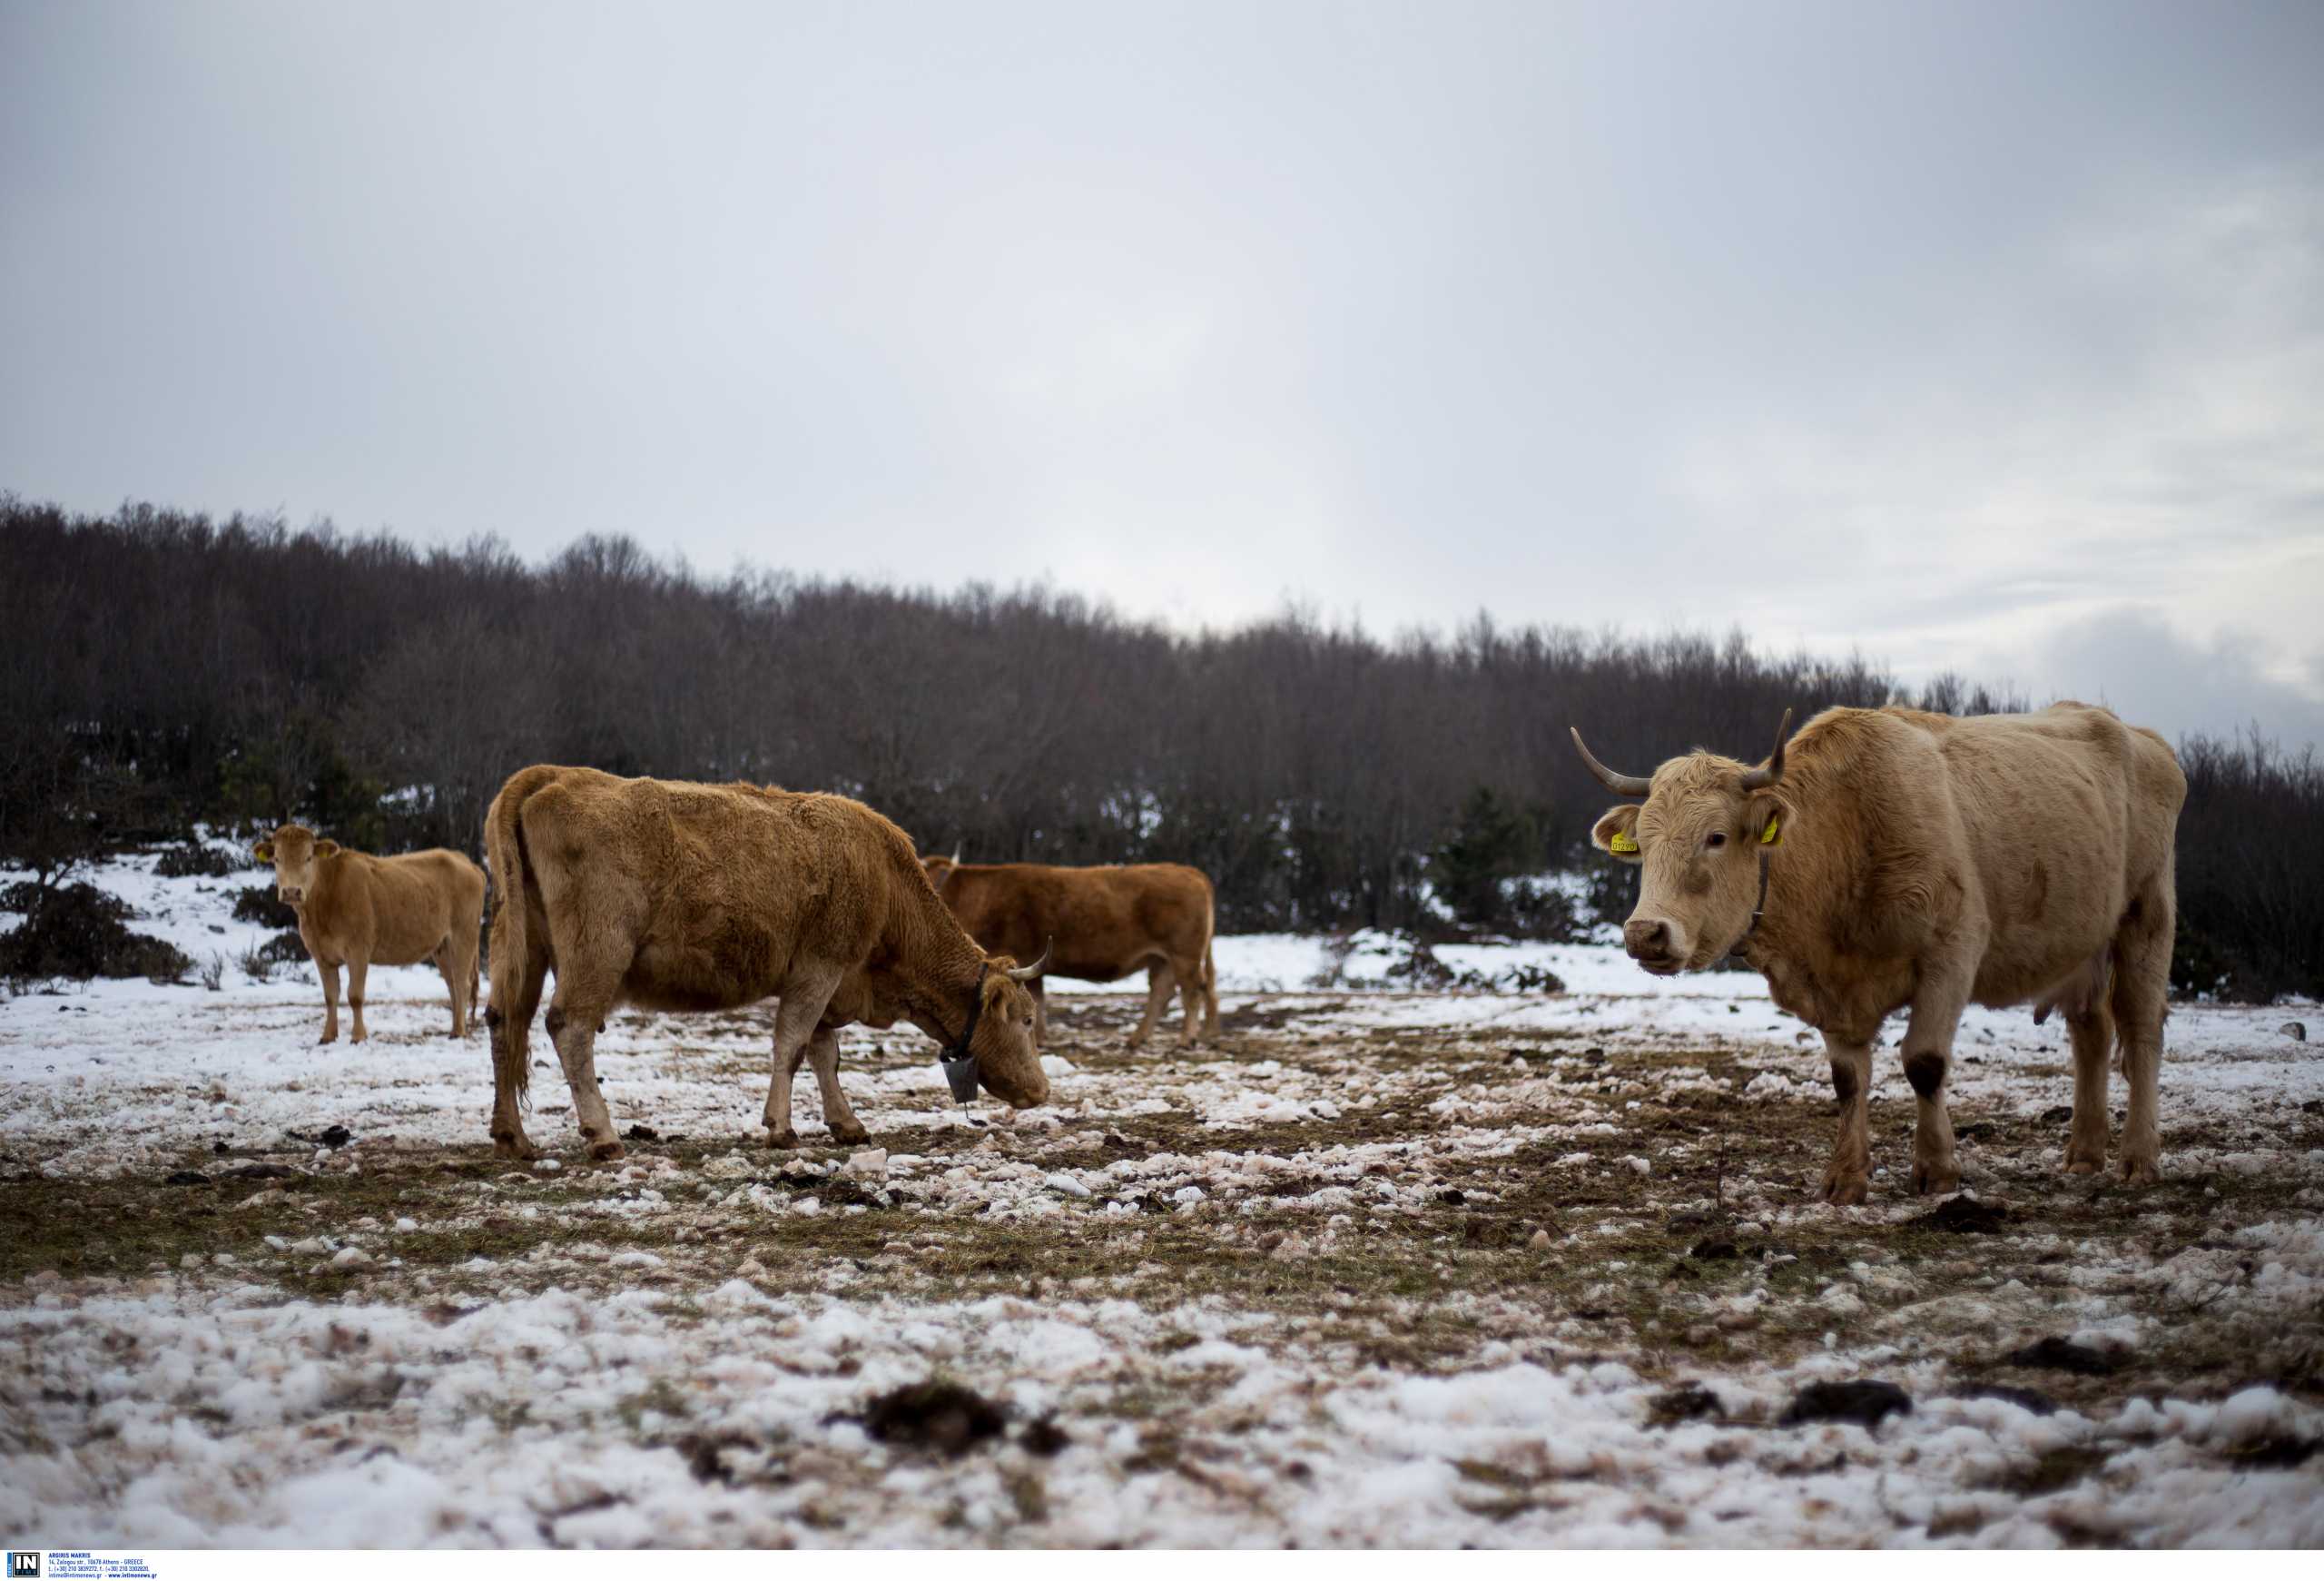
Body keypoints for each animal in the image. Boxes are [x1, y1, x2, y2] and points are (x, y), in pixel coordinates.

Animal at [251, 827, 483, 1051]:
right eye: (277, 859)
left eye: (308, 857)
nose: (291, 891)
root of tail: (465, 860)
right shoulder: (321, 955)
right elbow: (330, 996)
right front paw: (327, 1036)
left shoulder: (358, 950)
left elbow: (354, 995)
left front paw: (358, 1037)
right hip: (442, 946)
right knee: (452, 984)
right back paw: (454, 1029)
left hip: (463, 935)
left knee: (462, 983)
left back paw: (459, 1032)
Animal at [486, 766, 1050, 1162]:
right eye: (1026, 1020)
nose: (1042, 1091)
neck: (887, 885)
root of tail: (553, 775)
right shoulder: (820, 968)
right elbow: (794, 1046)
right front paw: (781, 1128)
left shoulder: (832, 984)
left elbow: (826, 1054)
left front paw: (846, 1123)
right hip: (598, 951)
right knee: (570, 1028)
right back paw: (602, 1135)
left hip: (522, 949)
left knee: (504, 1022)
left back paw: (512, 1135)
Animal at [915, 860, 1226, 1042]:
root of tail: (1187, 870)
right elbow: (1038, 998)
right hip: (1161, 959)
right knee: (1162, 992)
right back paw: (1137, 1039)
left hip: (1184, 955)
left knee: (1192, 991)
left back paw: (1187, 1039)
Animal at [1571, 697, 2184, 1200]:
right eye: (1644, 844)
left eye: (1716, 837)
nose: (1645, 933)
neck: (1847, 838)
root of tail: (2143, 738)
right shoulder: (1832, 991)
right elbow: (1848, 1080)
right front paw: (1846, 1176)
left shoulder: (1952, 954)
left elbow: (1924, 1062)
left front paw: (1937, 1169)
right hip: (2083, 942)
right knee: (2091, 1033)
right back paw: (2084, 1153)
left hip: (2147, 914)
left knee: (2140, 1030)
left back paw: (2139, 1158)